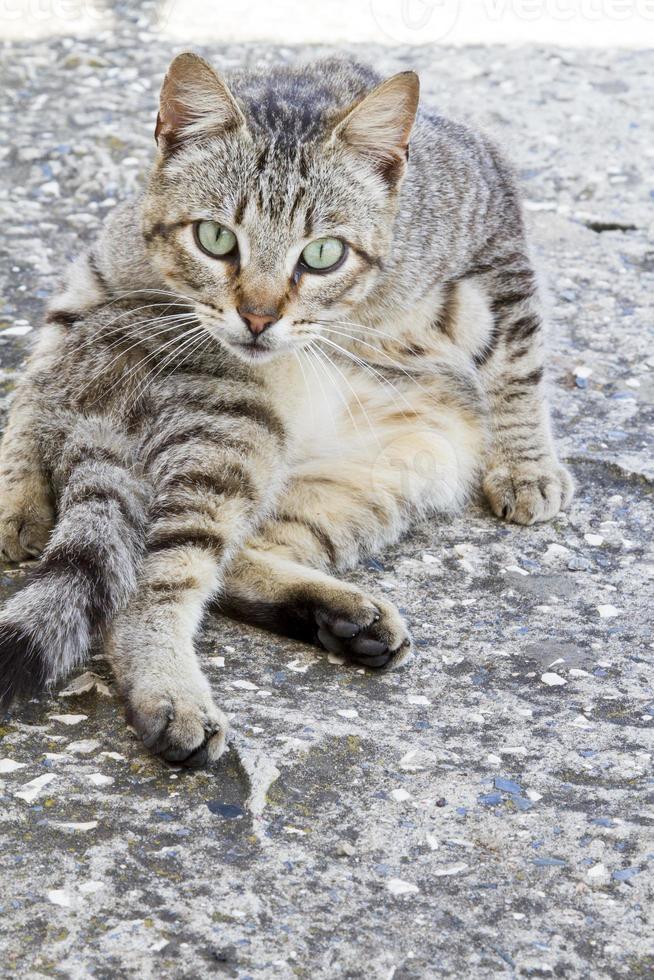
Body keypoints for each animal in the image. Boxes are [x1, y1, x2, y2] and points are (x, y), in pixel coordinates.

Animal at [0, 53, 576, 768]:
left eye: (324, 253)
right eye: (216, 239)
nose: (258, 317)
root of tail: (90, 418)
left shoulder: (496, 239)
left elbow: (518, 363)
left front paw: (526, 465)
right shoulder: (103, 272)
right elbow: (33, 374)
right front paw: (17, 490)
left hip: (386, 472)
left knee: (235, 564)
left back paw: (345, 618)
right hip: (231, 433)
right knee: (148, 589)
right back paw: (173, 696)